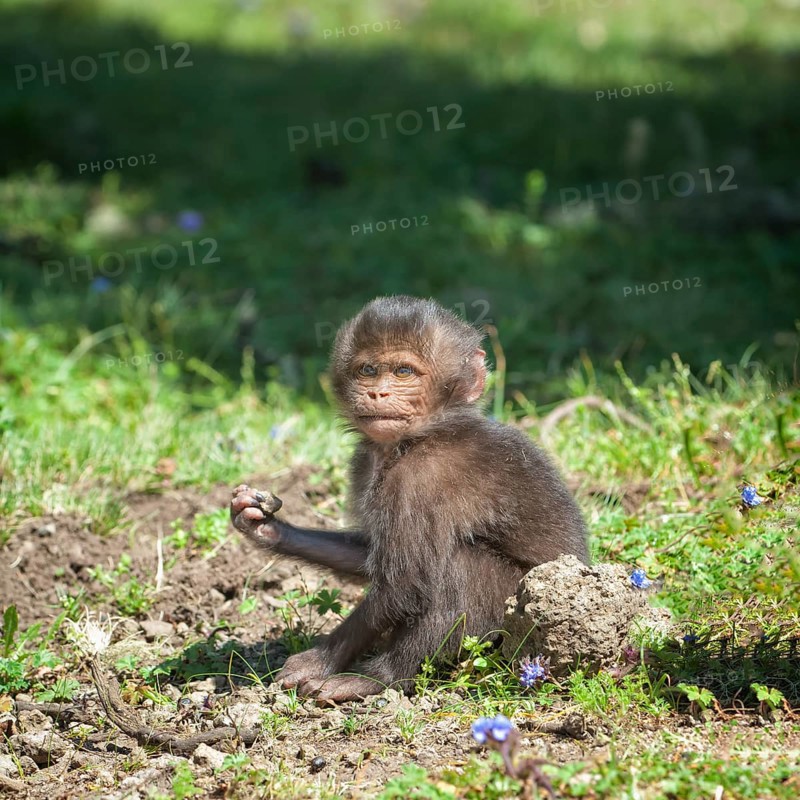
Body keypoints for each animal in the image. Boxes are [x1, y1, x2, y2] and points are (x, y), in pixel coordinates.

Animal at [230, 295, 588, 704]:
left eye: (403, 372)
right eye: (369, 370)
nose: (377, 393)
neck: (422, 434)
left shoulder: (419, 477)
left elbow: (403, 584)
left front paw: (321, 661)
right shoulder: (366, 463)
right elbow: (370, 557)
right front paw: (266, 528)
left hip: (521, 622)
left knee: (461, 565)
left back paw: (380, 678)